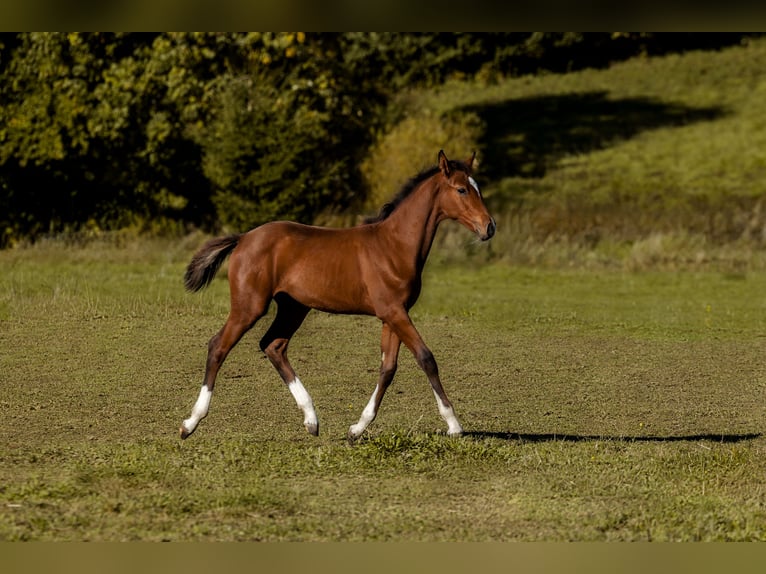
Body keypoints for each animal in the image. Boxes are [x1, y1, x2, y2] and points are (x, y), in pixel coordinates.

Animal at [179, 150, 496, 441]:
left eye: (477, 187)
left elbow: (388, 368)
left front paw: (357, 428)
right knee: (218, 346)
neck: (394, 245)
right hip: (250, 306)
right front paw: (454, 425)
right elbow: (426, 357)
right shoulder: (394, 312)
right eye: (462, 189)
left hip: (293, 307)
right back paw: (190, 423)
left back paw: (311, 419)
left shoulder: (392, 315)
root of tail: (244, 238)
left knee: (273, 345)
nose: (489, 227)